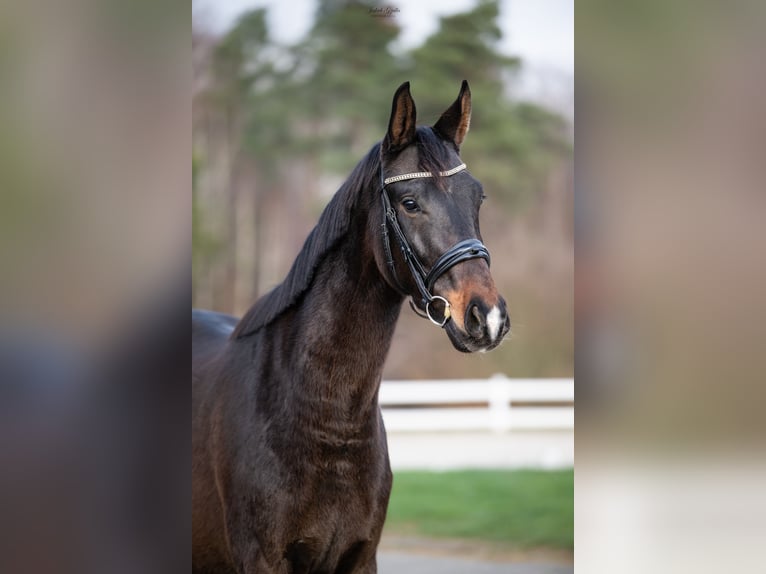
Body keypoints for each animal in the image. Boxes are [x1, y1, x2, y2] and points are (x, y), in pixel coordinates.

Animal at [192, 81, 510, 574]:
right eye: (410, 203)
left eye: (477, 198)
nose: (486, 317)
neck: (325, 420)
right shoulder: (262, 559)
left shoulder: (360, 557)